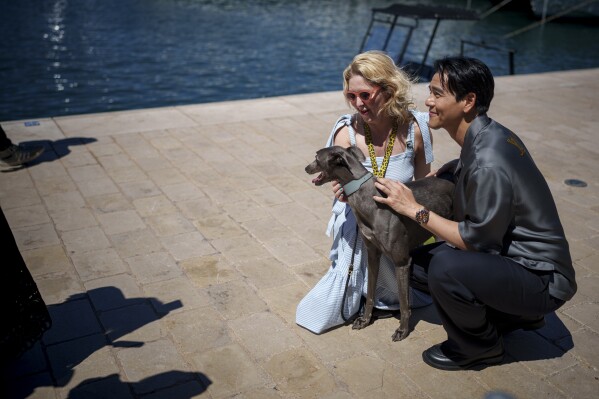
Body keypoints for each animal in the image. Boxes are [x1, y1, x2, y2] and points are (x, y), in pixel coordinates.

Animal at [304, 145, 454, 342]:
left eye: (316, 157)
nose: (306, 168)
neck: (369, 199)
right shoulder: (373, 255)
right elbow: (370, 293)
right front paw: (365, 320)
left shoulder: (402, 262)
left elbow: (404, 304)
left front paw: (402, 331)